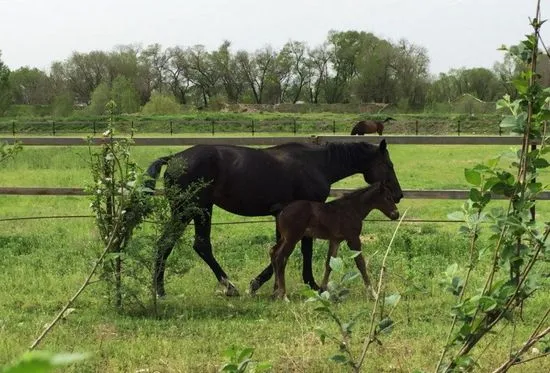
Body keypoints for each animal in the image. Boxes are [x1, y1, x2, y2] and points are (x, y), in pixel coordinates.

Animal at [272, 182, 402, 300]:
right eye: (388, 197)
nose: (396, 214)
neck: (352, 209)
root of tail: (282, 209)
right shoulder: (353, 239)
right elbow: (361, 264)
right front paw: (373, 294)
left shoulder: (335, 240)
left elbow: (329, 264)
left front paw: (322, 291)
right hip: (292, 238)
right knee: (280, 258)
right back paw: (283, 296)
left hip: (284, 238)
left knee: (273, 252)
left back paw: (276, 292)